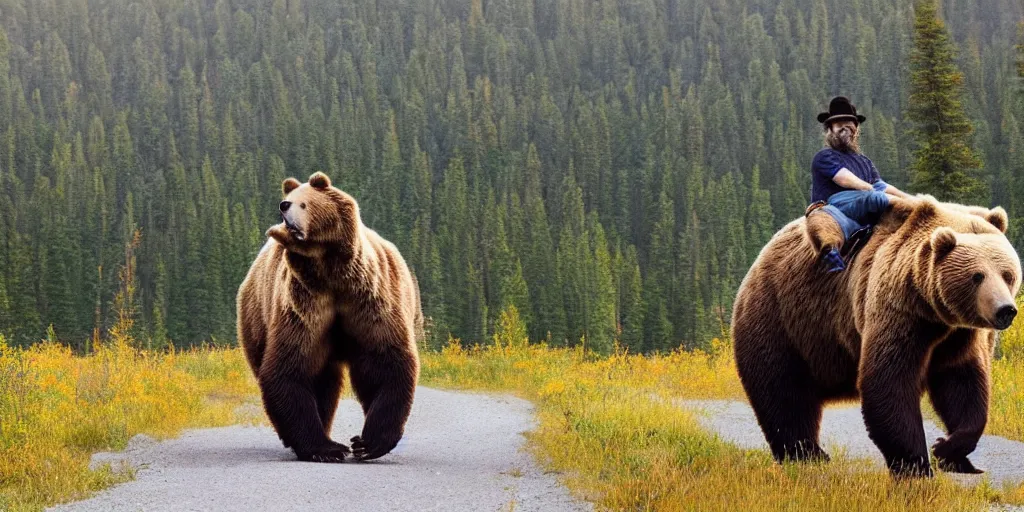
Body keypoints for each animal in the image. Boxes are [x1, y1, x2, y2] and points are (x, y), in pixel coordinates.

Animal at [235, 172, 419, 464]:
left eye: (303, 203)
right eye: (289, 200)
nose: (283, 206)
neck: (331, 272)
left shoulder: (370, 301)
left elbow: (386, 362)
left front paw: (365, 443)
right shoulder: (304, 308)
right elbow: (290, 369)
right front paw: (327, 449)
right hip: (256, 322)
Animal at [733, 195, 1019, 475]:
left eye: (1008, 274)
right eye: (977, 276)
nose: (1006, 310)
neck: (934, 312)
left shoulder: (960, 336)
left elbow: (964, 384)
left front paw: (947, 450)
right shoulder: (897, 310)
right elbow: (889, 382)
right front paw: (916, 464)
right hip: (783, 319)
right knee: (783, 391)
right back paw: (807, 454)